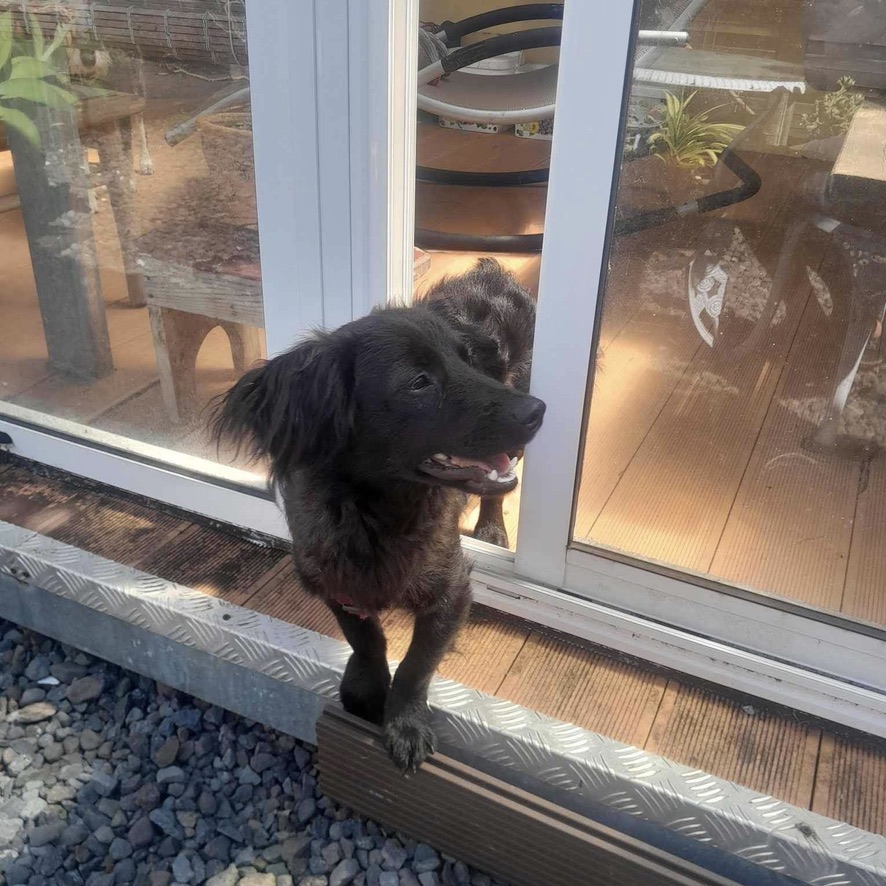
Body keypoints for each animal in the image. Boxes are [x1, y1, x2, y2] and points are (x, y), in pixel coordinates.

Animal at [218, 262, 544, 772]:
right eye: (419, 382)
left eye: (469, 360)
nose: (537, 412)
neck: (376, 514)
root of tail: (493, 273)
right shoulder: (332, 580)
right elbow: (366, 640)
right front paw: (368, 689)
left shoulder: (452, 591)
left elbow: (415, 665)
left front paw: (404, 722)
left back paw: (491, 527)